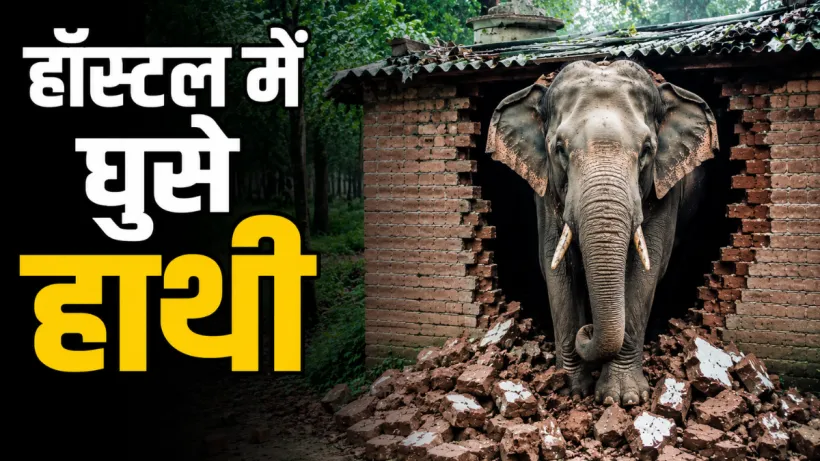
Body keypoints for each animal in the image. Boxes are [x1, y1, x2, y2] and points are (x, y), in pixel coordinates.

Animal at [486, 59, 719, 406]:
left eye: (647, 149)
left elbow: (647, 270)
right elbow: (556, 268)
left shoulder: (664, 190)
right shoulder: (545, 192)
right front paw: (569, 390)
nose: (588, 330)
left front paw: (622, 399)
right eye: (559, 148)